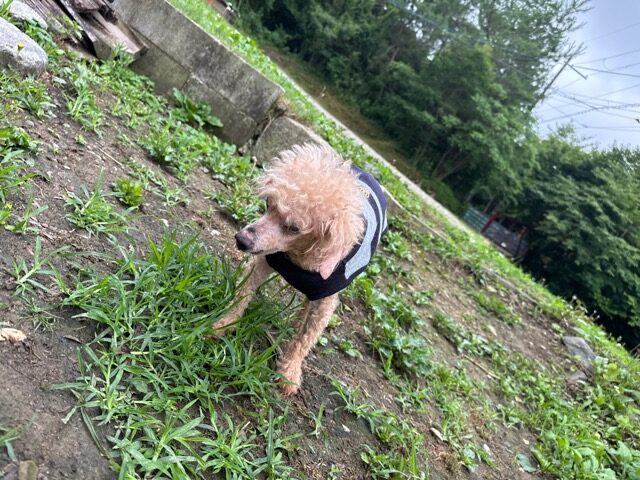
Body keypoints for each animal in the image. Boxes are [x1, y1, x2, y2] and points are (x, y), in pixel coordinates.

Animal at [213, 143, 387, 396]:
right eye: (268, 204)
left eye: (294, 228)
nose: (241, 240)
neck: (300, 258)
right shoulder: (263, 261)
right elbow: (242, 295)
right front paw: (223, 324)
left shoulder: (326, 299)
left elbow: (306, 338)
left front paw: (289, 371)